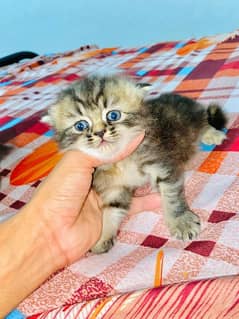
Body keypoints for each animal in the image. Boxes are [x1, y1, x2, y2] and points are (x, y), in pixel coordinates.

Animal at [42, 75, 227, 255]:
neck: (119, 162)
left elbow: (171, 196)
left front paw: (181, 222)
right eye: (81, 125)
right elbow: (111, 209)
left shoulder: (159, 162)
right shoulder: (114, 188)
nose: (100, 133)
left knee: (204, 121)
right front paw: (103, 237)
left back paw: (212, 134)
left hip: (188, 118)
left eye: (113, 115)